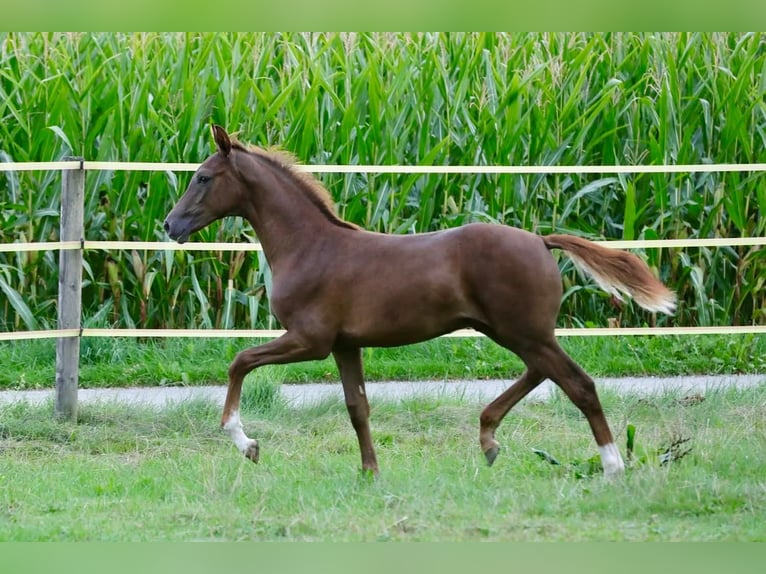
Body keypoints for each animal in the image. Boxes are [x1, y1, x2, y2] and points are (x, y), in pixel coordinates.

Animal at [164, 125, 676, 479]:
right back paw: (488, 438)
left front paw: (247, 444)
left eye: (203, 178)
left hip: (523, 331)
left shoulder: (310, 339)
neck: (310, 246)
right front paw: (370, 473)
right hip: (513, 331)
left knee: (578, 384)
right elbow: (358, 408)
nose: (170, 225)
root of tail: (540, 240)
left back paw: (612, 466)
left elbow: (239, 361)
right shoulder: (344, 345)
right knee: (543, 373)